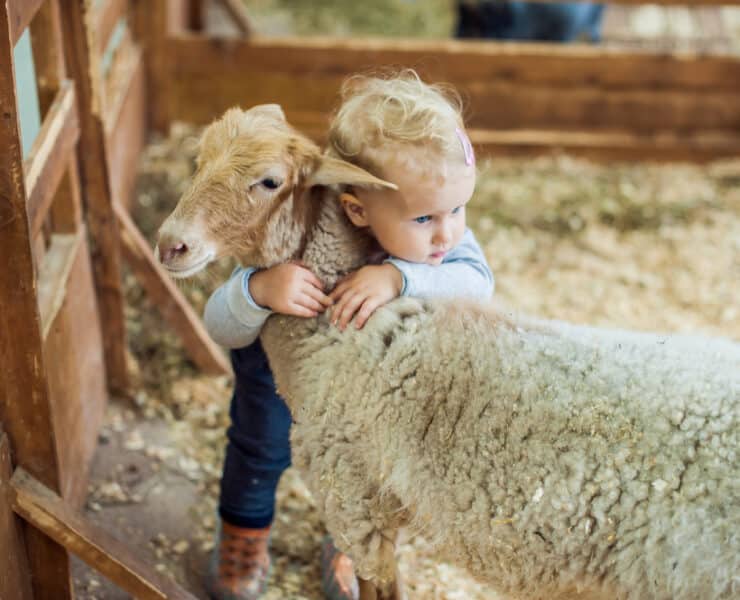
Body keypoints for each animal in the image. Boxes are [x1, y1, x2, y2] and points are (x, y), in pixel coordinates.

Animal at [156, 105, 740, 600]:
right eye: (199, 160)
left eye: (270, 181)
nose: (170, 245)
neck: (337, 342)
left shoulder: (353, 500)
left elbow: (380, 588)